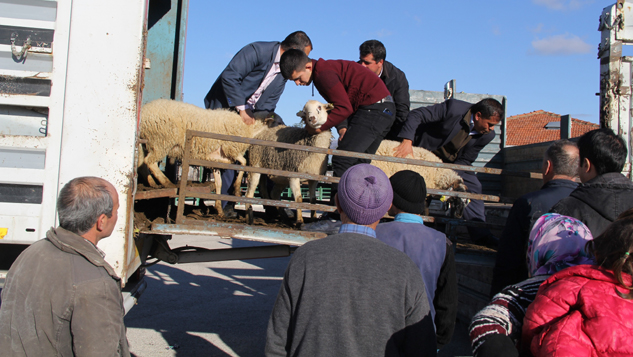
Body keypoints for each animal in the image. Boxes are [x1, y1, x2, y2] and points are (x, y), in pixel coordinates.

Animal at [139, 99, 274, 217]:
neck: (249, 128)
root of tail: (144, 112)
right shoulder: (230, 148)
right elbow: (243, 162)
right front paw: (236, 189)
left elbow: (219, 182)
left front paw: (219, 209)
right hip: (161, 141)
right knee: (149, 162)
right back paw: (166, 183)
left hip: (147, 144)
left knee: (142, 164)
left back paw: (152, 183)